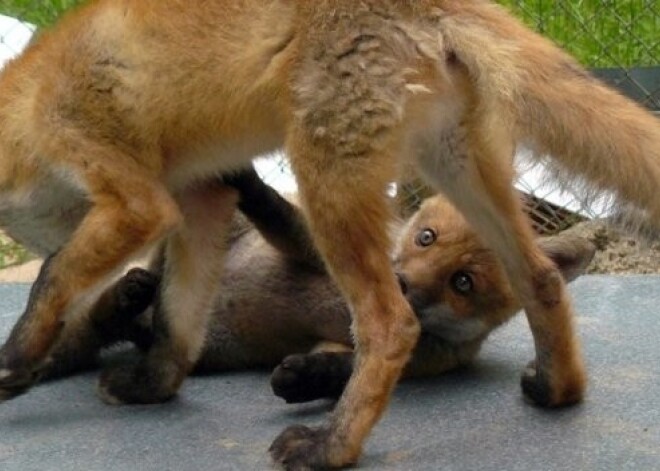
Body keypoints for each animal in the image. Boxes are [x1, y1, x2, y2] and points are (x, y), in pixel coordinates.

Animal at [40, 169, 600, 406]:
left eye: (462, 282)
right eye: (426, 237)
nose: (398, 283)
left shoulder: (406, 359)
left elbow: (340, 370)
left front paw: (304, 380)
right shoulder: (315, 252)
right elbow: (280, 213)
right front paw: (249, 179)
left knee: (115, 328)